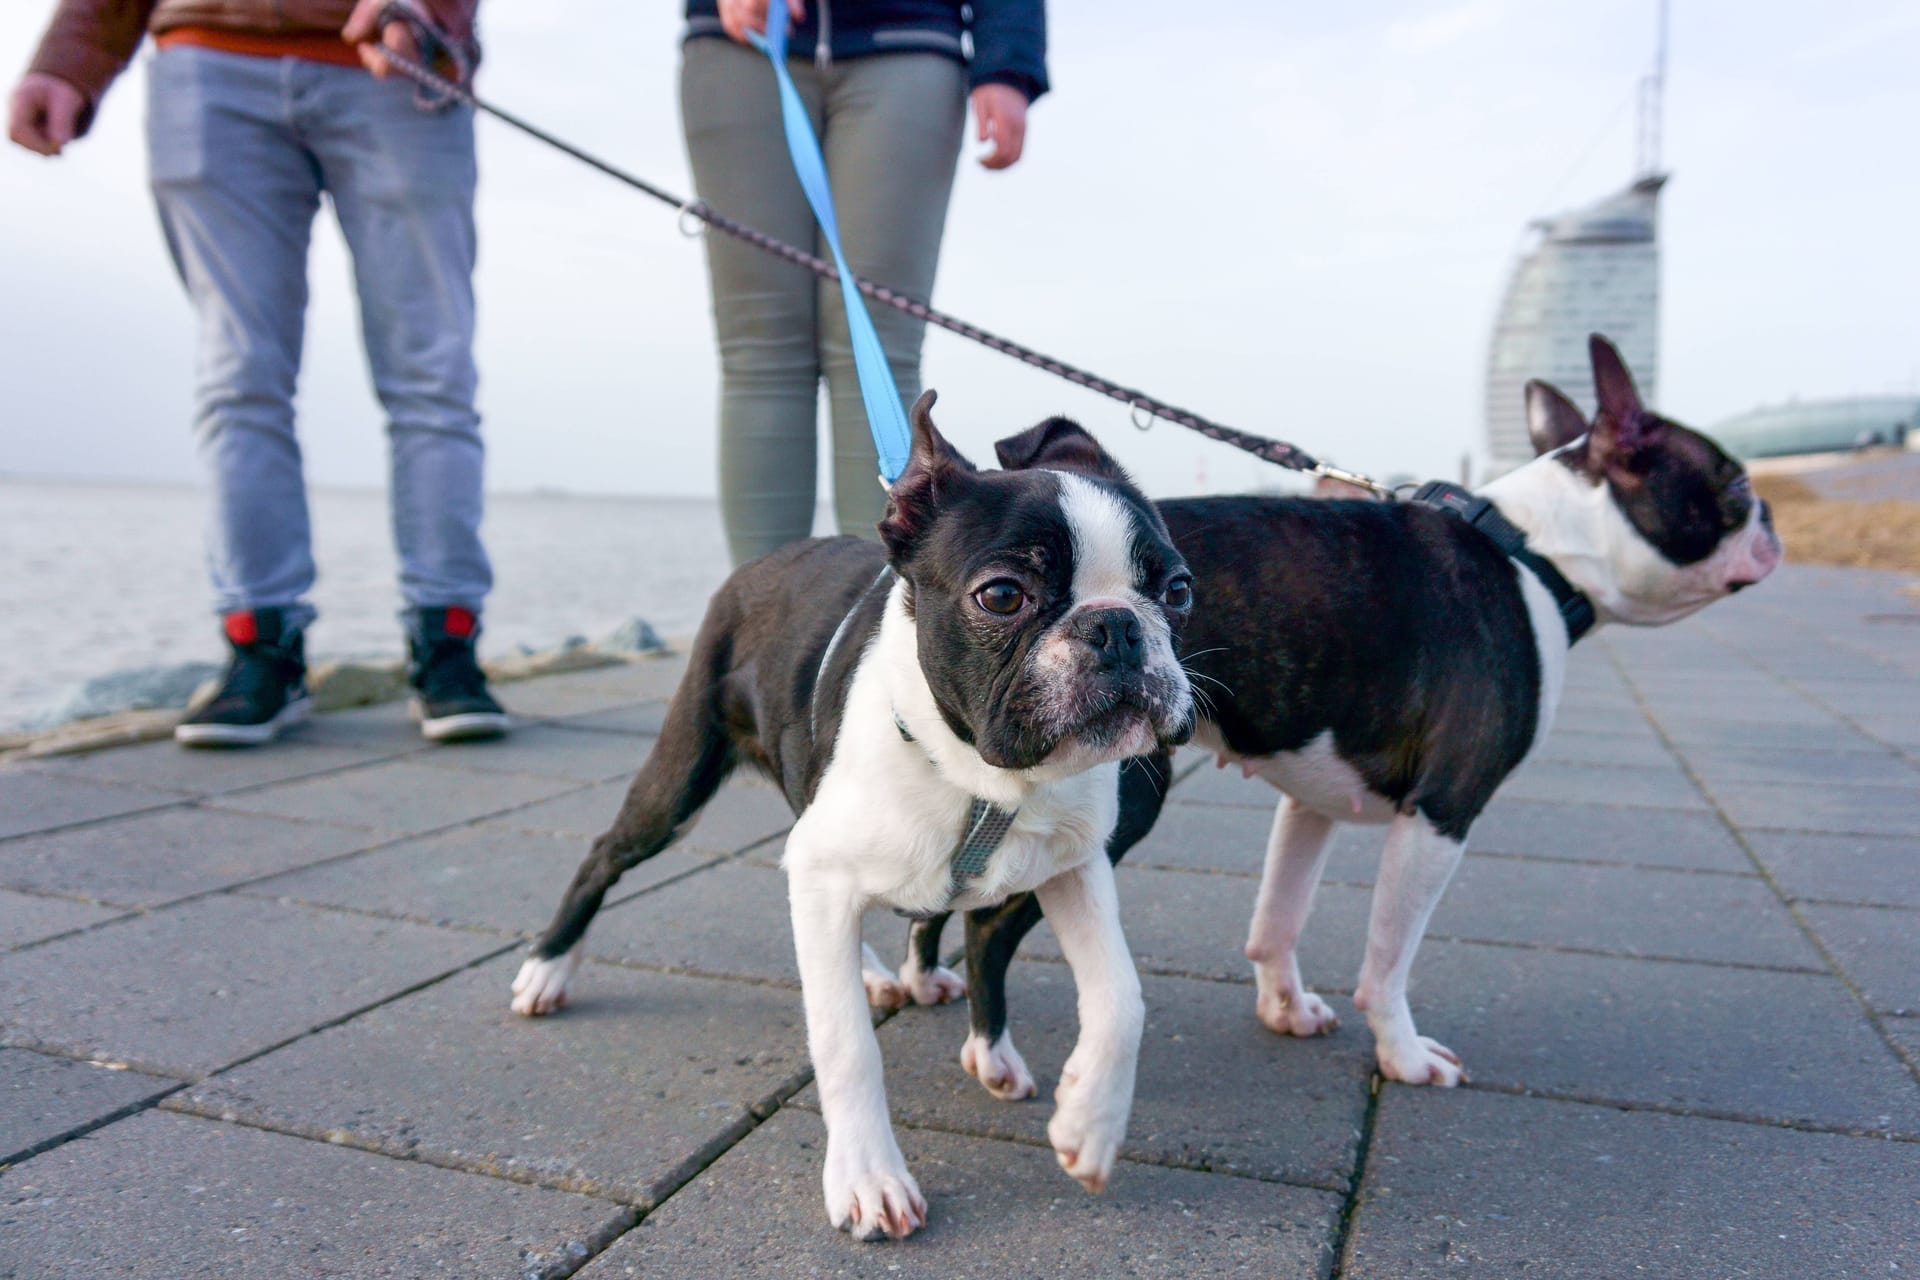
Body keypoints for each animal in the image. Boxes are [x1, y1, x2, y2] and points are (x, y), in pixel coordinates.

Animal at [510, 397, 1198, 1243]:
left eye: (1178, 590)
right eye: (1002, 595)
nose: (1118, 626)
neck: (987, 781)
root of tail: (770, 560)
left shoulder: (1074, 866)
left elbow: (1120, 998)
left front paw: (1089, 1126)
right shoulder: (826, 871)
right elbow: (845, 1046)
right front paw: (870, 1177)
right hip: (677, 786)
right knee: (606, 851)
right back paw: (548, 968)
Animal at [890, 335, 1789, 1097]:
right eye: (1736, 488)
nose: (1774, 520)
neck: (1534, 550)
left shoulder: (1310, 800)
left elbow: (1279, 917)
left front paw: (1284, 1009)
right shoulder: (1443, 813)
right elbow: (1388, 960)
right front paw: (1404, 1054)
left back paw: (918, 978)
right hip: (1126, 797)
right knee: (988, 923)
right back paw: (990, 1055)